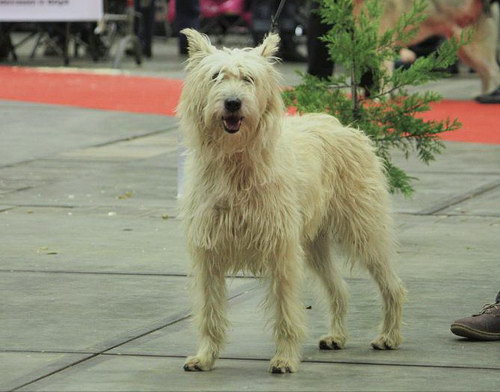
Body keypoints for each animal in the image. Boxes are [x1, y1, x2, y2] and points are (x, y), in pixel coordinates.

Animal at [178, 29, 404, 374]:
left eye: (248, 79)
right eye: (216, 76)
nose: (233, 103)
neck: (236, 163)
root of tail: (346, 127)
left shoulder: (281, 251)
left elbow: (285, 310)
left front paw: (284, 358)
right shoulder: (208, 255)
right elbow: (209, 312)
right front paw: (205, 356)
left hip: (364, 231)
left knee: (392, 285)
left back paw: (389, 336)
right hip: (315, 244)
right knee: (339, 289)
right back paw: (337, 336)